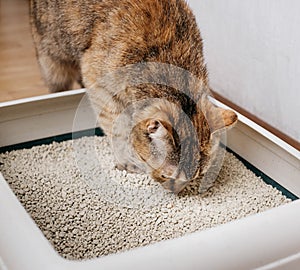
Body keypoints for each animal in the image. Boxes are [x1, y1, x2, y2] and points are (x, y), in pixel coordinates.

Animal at [29, 0, 237, 194]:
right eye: (165, 175)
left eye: (196, 176)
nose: (175, 192)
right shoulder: (99, 85)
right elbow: (117, 128)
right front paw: (126, 159)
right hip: (53, 59)